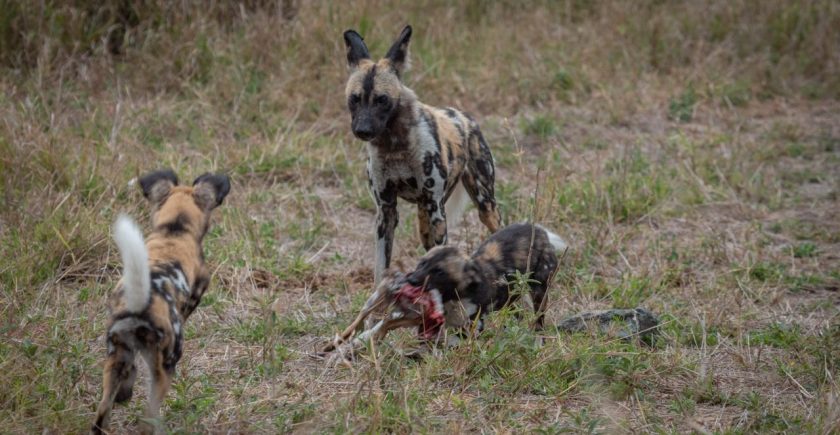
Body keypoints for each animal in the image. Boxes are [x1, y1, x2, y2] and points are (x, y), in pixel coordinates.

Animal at [91, 169, 230, 434]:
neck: (174, 228)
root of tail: (141, 304)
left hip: (116, 355)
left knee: (101, 416)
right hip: (165, 368)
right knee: (148, 418)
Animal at [324, 225, 568, 358]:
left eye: (439, 272)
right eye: (422, 263)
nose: (410, 279)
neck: (453, 296)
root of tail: (540, 232)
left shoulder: (471, 326)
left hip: (539, 293)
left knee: (539, 320)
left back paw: (538, 341)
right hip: (513, 297)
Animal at [342, 25, 502, 284]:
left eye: (382, 100)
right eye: (354, 99)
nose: (362, 130)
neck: (394, 147)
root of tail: (465, 116)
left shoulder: (436, 208)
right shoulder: (385, 212)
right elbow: (381, 267)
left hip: (483, 205)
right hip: (424, 221)